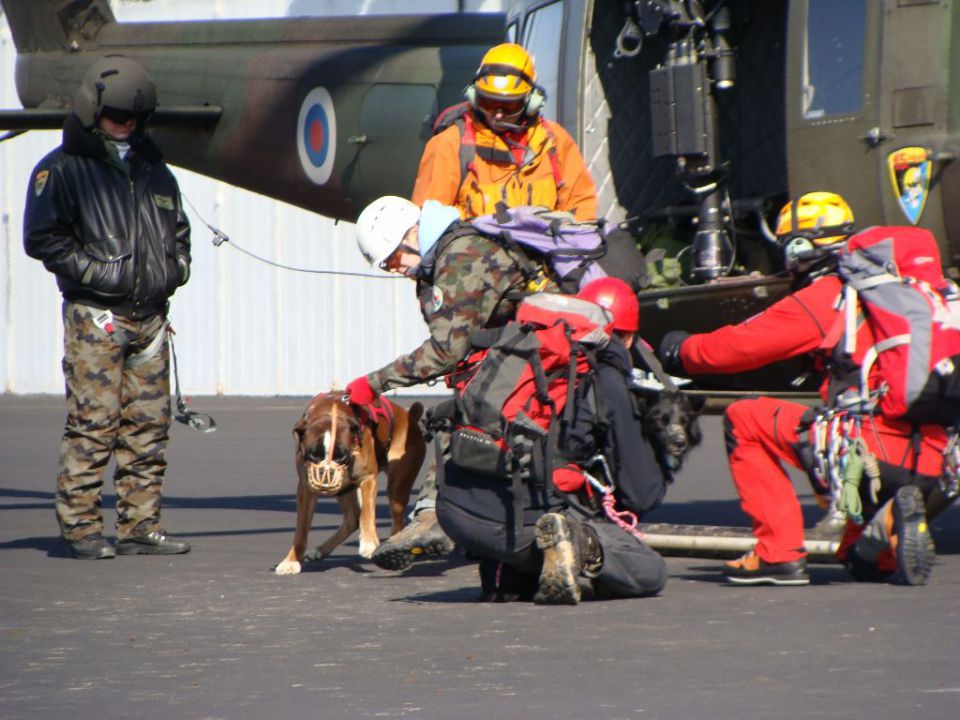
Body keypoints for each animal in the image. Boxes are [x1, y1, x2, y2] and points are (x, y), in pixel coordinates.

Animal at [274, 394, 424, 572]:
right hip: (344, 490)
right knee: (352, 519)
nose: (328, 471)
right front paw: (292, 560)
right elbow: (301, 529)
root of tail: (410, 417)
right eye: (314, 455)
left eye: (342, 457)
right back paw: (321, 550)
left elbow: (367, 513)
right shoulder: (306, 489)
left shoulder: (367, 477)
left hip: (397, 489)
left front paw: (368, 543)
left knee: (396, 522)